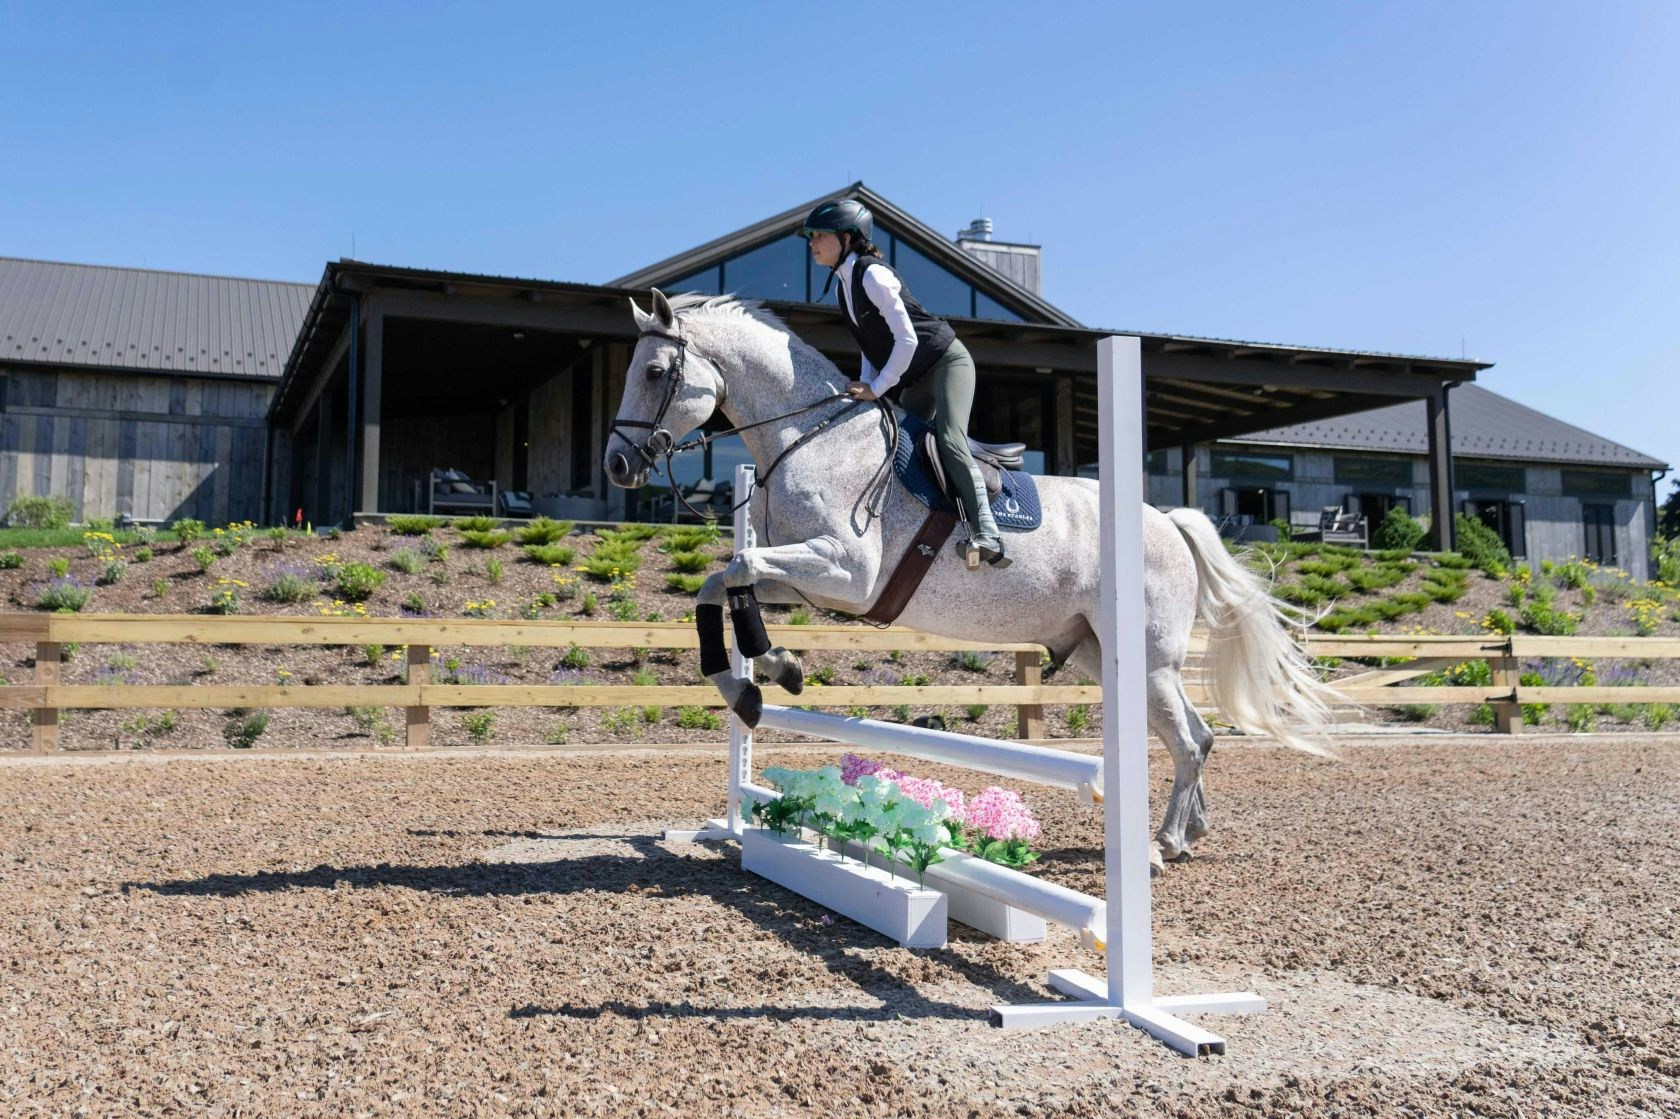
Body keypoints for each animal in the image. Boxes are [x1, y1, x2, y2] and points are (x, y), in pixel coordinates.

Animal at [605, 289, 1336, 871]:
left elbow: (736, 572)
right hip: (1103, 653)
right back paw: (1190, 832)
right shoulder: (811, 576)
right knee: (1197, 734)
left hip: (1146, 658)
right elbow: (718, 585)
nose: (616, 465)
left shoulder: (846, 570)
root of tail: (1167, 519)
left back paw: (1160, 846)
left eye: (656, 371)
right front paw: (760, 679)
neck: (810, 438)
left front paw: (768, 670)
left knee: (1186, 739)